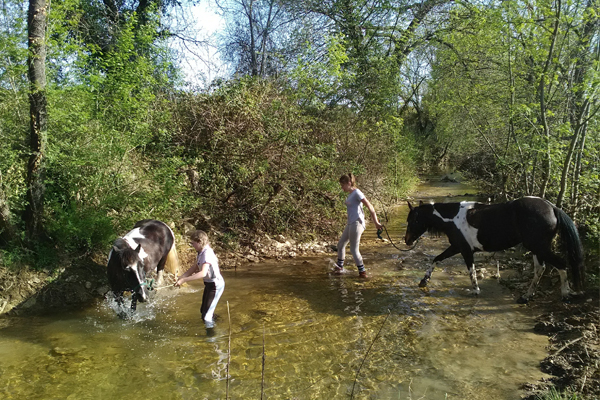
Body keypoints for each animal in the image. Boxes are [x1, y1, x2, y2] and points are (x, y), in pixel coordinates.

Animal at [406, 197, 584, 304]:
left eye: (413, 220)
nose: (407, 241)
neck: (453, 218)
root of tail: (552, 208)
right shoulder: (456, 247)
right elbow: (437, 258)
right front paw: (424, 280)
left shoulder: (465, 250)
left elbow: (471, 271)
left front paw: (476, 291)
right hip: (537, 248)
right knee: (540, 268)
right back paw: (526, 297)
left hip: (538, 246)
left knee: (560, 264)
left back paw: (565, 294)